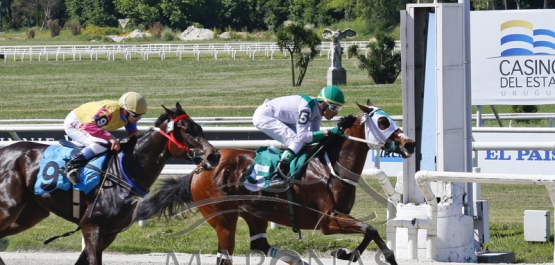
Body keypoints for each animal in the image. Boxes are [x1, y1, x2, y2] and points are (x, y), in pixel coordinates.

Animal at [0, 102, 220, 264]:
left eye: (199, 128)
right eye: (187, 130)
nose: (214, 156)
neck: (124, 170)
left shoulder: (110, 233)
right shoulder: (92, 226)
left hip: (31, 213)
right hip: (10, 207)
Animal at [138, 99, 416, 264]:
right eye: (383, 121)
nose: (410, 144)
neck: (332, 167)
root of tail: (199, 168)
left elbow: (372, 233)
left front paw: (347, 253)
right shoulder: (326, 221)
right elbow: (369, 228)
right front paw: (345, 253)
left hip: (254, 213)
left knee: (260, 244)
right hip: (223, 219)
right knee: (225, 255)